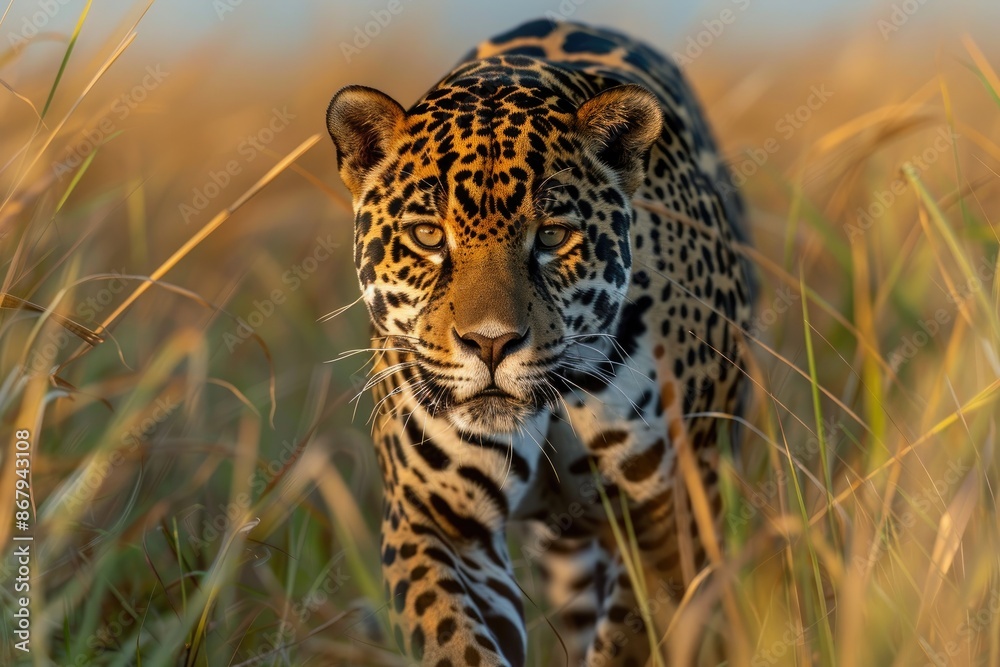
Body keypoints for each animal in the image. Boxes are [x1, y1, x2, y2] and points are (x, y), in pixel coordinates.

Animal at [326, 18, 754, 667]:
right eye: (427, 236)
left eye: (552, 236)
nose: (490, 343)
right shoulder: (438, 523)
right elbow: (459, 643)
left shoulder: (671, 513)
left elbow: (635, 639)